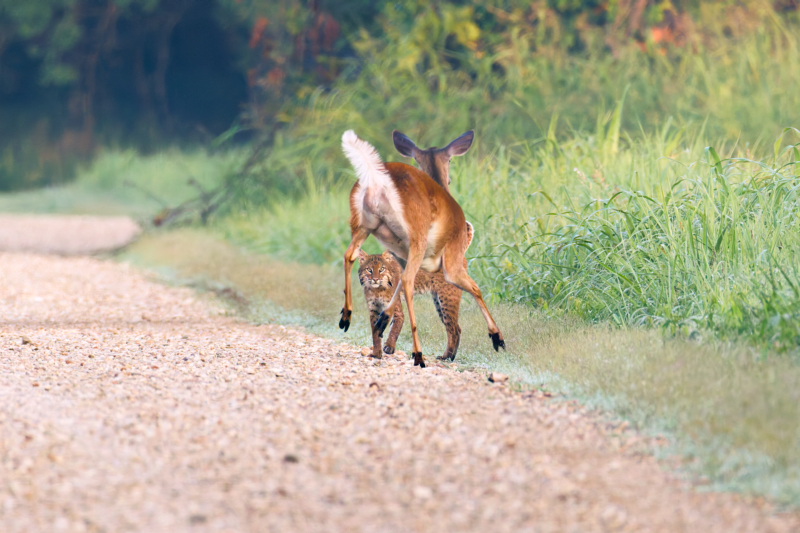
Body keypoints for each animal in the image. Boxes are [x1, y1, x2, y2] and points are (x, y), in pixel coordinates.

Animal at [340, 131, 506, 368]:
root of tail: (377, 182)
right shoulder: (451, 261)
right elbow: (476, 289)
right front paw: (497, 338)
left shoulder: (399, 255)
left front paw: (383, 321)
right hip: (417, 237)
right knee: (409, 280)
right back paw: (418, 354)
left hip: (363, 226)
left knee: (350, 255)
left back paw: (346, 317)